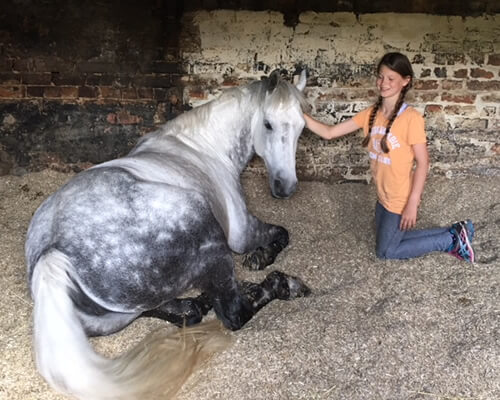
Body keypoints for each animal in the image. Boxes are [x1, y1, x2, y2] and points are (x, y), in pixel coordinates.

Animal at [26, 70, 312, 398]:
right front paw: (261, 258)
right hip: (205, 231)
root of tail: (52, 253)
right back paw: (283, 285)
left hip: (111, 319)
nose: (285, 187)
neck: (203, 148)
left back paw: (197, 302)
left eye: (302, 126)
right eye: (268, 124)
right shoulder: (242, 232)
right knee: (234, 313)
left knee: (178, 312)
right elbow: (282, 234)